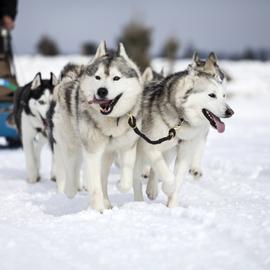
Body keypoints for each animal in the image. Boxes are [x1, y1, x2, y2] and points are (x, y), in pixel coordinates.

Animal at [51, 41, 143, 211]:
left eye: (116, 78)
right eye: (97, 77)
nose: (102, 91)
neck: (111, 120)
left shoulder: (128, 147)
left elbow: (126, 178)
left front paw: (119, 186)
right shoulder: (92, 152)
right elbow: (94, 185)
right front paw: (98, 209)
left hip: (106, 155)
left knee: (102, 177)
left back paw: (106, 201)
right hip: (71, 145)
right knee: (71, 170)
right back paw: (71, 190)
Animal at [134, 59, 233, 207]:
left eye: (224, 96)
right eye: (212, 95)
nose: (230, 112)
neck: (180, 120)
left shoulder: (185, 151)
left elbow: (176, 177)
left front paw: (172, 206)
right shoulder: (150, 146)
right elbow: (168, 176)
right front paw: (168, 188)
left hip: (168, 149)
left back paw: (151, 190)